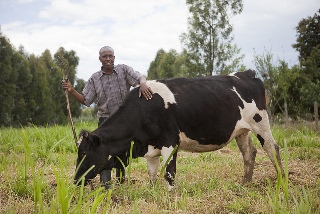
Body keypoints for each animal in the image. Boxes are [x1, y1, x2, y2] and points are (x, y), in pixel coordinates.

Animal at [74, 70, 282, 191]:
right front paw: (152, 192)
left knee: (272, 148)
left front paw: (170, 195)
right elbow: (152, 174)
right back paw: (245, 183)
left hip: (260, 121)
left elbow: (169, 172)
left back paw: (281, 179)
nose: (76, 180)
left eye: (84, 152)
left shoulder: (170, 142)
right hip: (241, 130)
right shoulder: (151, 148)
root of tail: (244, 73)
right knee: (249, 153)